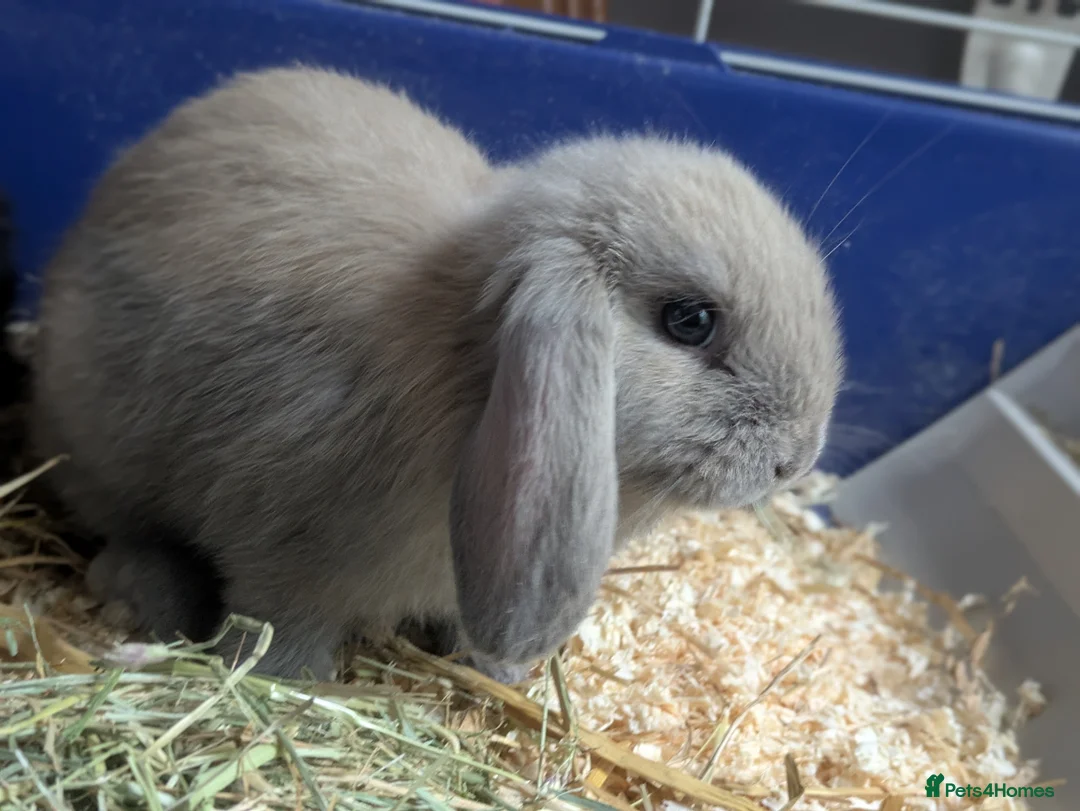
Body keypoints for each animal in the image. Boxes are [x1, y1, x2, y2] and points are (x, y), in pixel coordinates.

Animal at [28, 65, 843, 683]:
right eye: (690, 320)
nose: (798, 460)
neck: (466, 372)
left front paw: (494, 670)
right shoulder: (281, 554)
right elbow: (277, 623)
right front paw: (291, 685)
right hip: (96, 451)